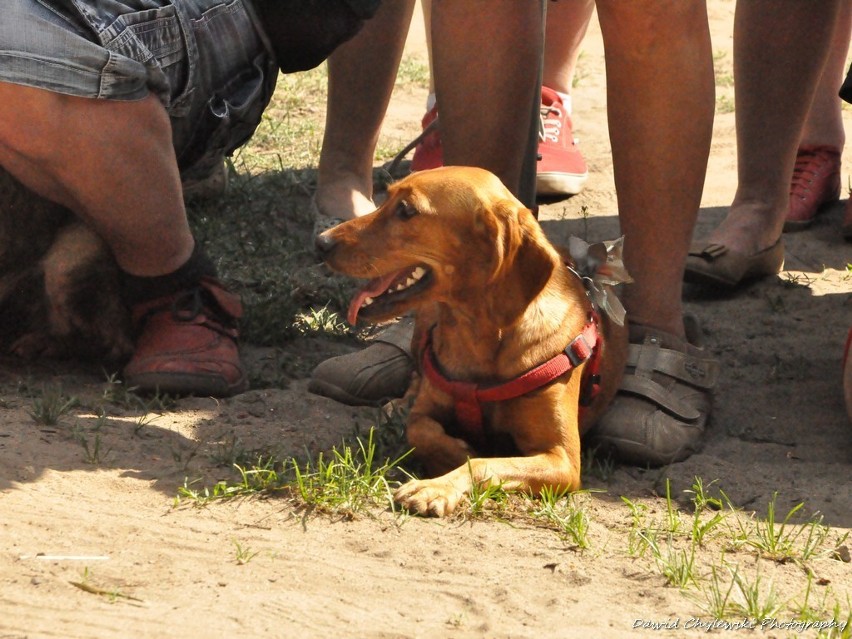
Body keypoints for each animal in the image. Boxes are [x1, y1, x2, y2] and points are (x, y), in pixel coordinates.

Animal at [314, 168, 624, 516]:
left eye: (406, 210)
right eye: (387, 198)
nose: (320, 243)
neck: (479, 336)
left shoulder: (563, 459)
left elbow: (484, 463)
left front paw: (435, 486)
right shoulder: (427, 411)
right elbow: (419, 430)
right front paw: (455, 452)